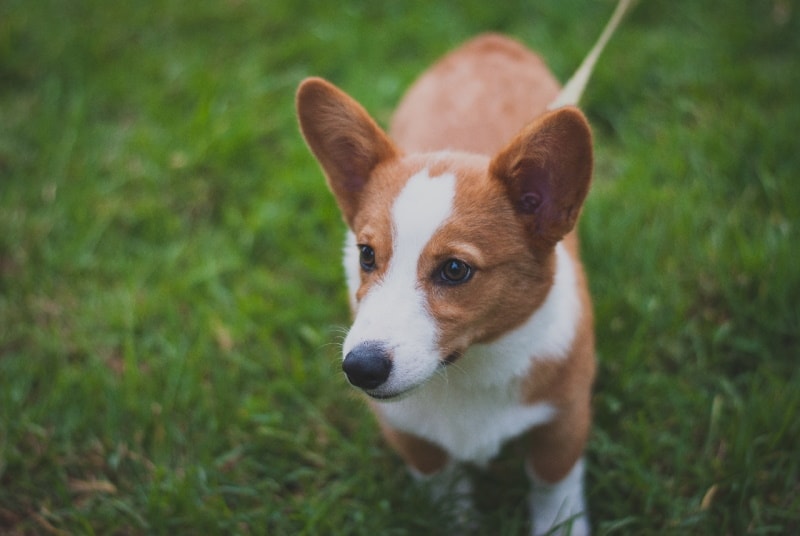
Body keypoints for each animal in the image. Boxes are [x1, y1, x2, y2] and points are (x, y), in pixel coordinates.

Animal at [296, 3, 628, 532]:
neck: (469, 367)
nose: (359, 369)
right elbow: (444, 484)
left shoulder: (564, 420)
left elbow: (553, 487)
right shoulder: (408, 432)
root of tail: (487, 42)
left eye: (455, 270)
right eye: (366, 255)